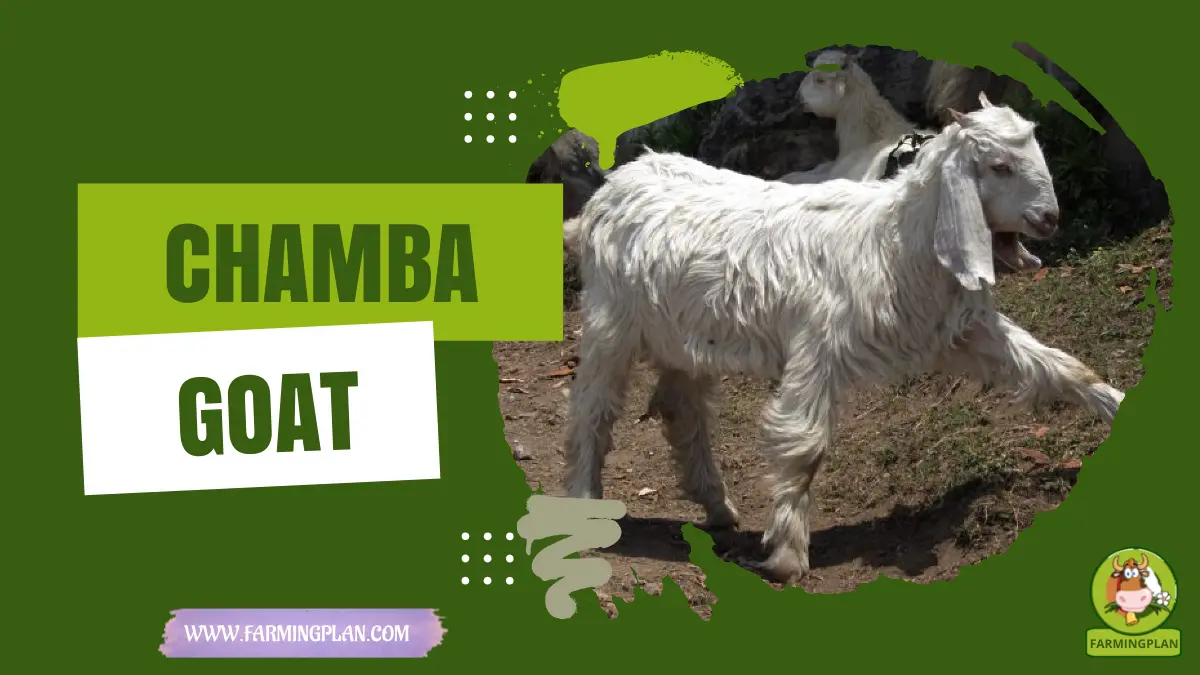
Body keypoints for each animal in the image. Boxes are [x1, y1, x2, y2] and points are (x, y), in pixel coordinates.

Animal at [561, 94, 1124, 583]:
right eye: (1000, 166)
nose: (1049, 219)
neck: (895, 242)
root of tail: (606, 192)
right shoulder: (818, 344)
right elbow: (805, 445)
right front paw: (787, 557)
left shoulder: (963, 328)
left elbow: (1057, 366)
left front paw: (1115, 404)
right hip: (611, 321)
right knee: (593, 408)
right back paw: (586, 500)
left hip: (685, 335)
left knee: (684, 407)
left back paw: (717, 506)